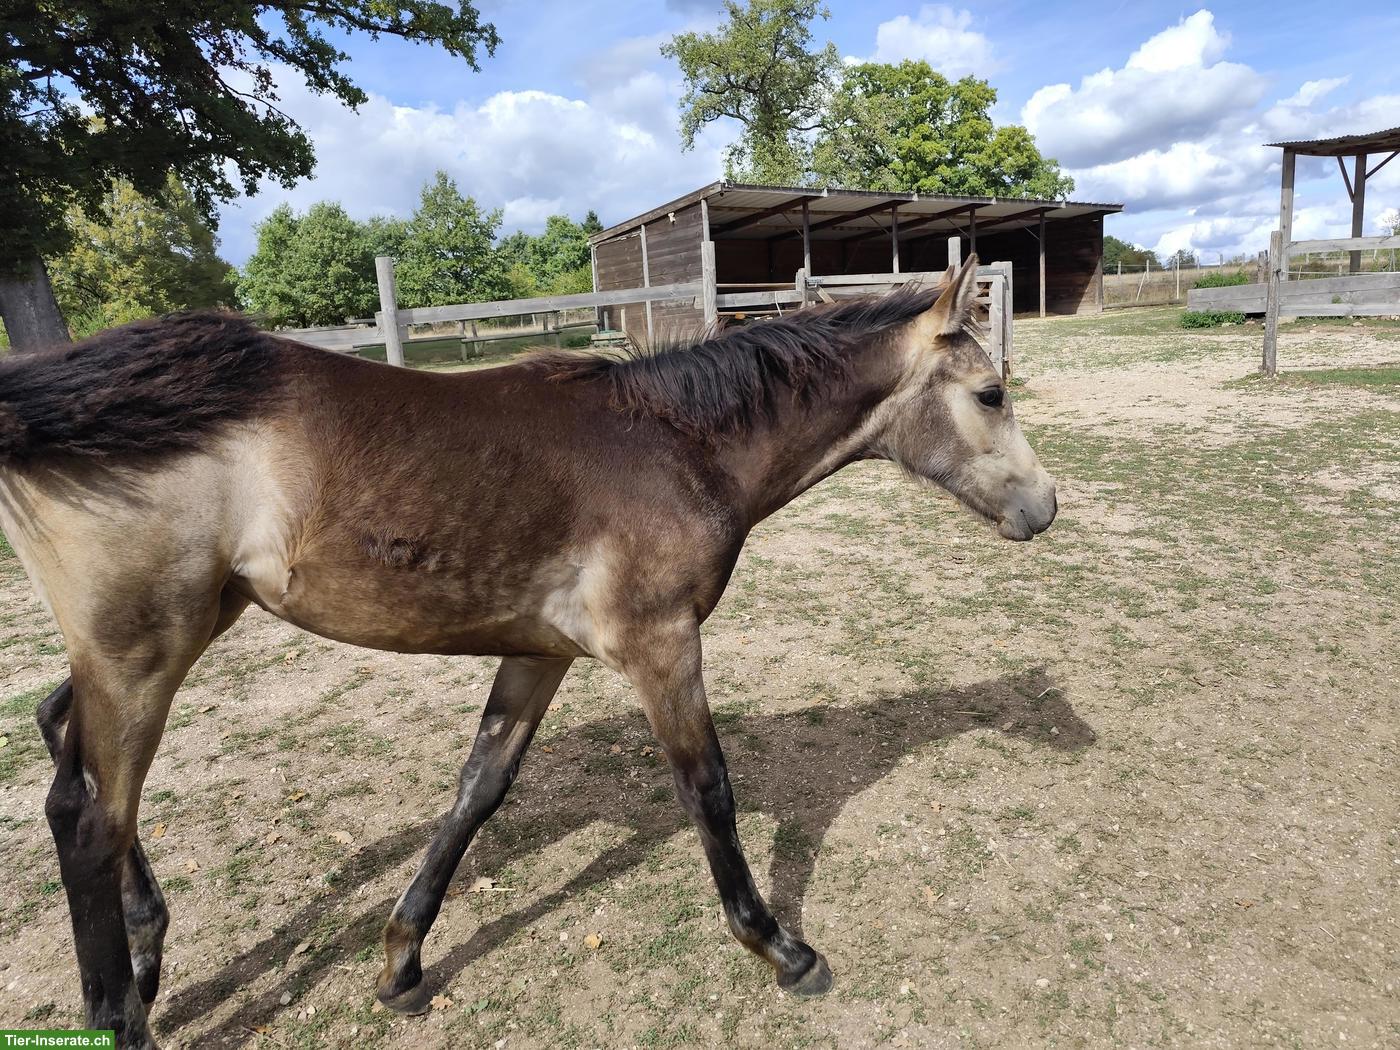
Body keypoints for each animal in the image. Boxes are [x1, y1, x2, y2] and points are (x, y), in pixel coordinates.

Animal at [0, 257, 1056, 1047]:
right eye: (991, 392)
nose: (1044, 510)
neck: (677, 443)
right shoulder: (660, 644)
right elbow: (708, 787)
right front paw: (780, 949)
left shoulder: (540, 655)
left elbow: (479, 789)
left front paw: (403, 960)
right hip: (145, 648)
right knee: (92, 821)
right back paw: (121, 1007)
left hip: (181, 627)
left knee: (63, 747)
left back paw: (149, 954)